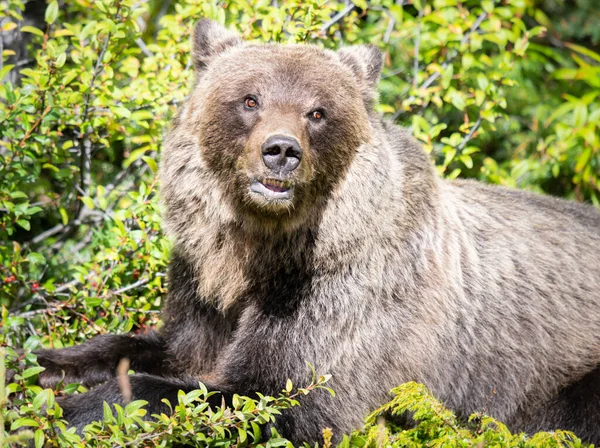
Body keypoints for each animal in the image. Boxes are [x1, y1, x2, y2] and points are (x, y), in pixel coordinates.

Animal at [30, 18, 600, 444]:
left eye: (318, 111)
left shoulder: (342, 298)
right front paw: (51, 363)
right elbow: (164, 348)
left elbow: (276, 398)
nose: (280, 150)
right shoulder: (203, 284)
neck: (261, 252)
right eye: (250, 100)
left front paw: (81, 407)